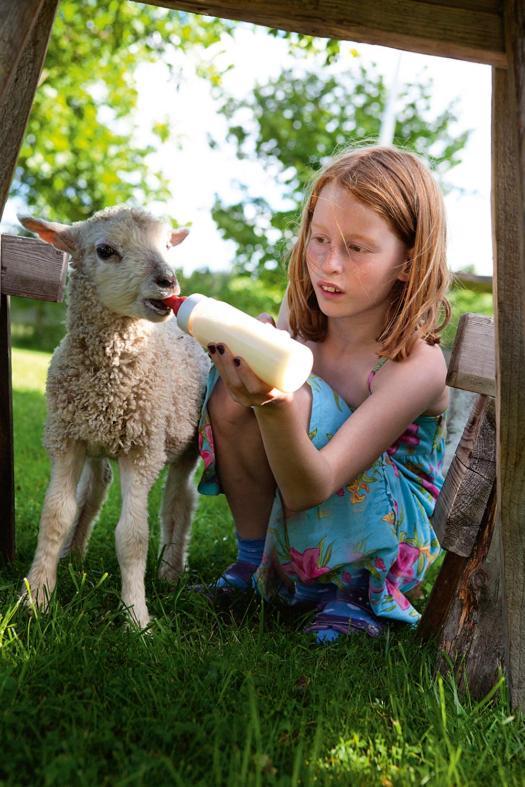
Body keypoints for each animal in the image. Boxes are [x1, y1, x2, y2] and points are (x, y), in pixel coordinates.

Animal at [18, 205, 211, 628]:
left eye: (166, 245)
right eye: (105, 250)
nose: (168, 281)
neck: (109, 378)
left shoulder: (143, 449)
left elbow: (133, 536)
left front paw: (136, 617)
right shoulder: (66, 438)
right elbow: (55, 515)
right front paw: (37, 597)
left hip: (185, 444)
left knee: (179, 501)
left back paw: (170, 571)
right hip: (96, 439)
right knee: (94, 491)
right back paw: (73, 554)